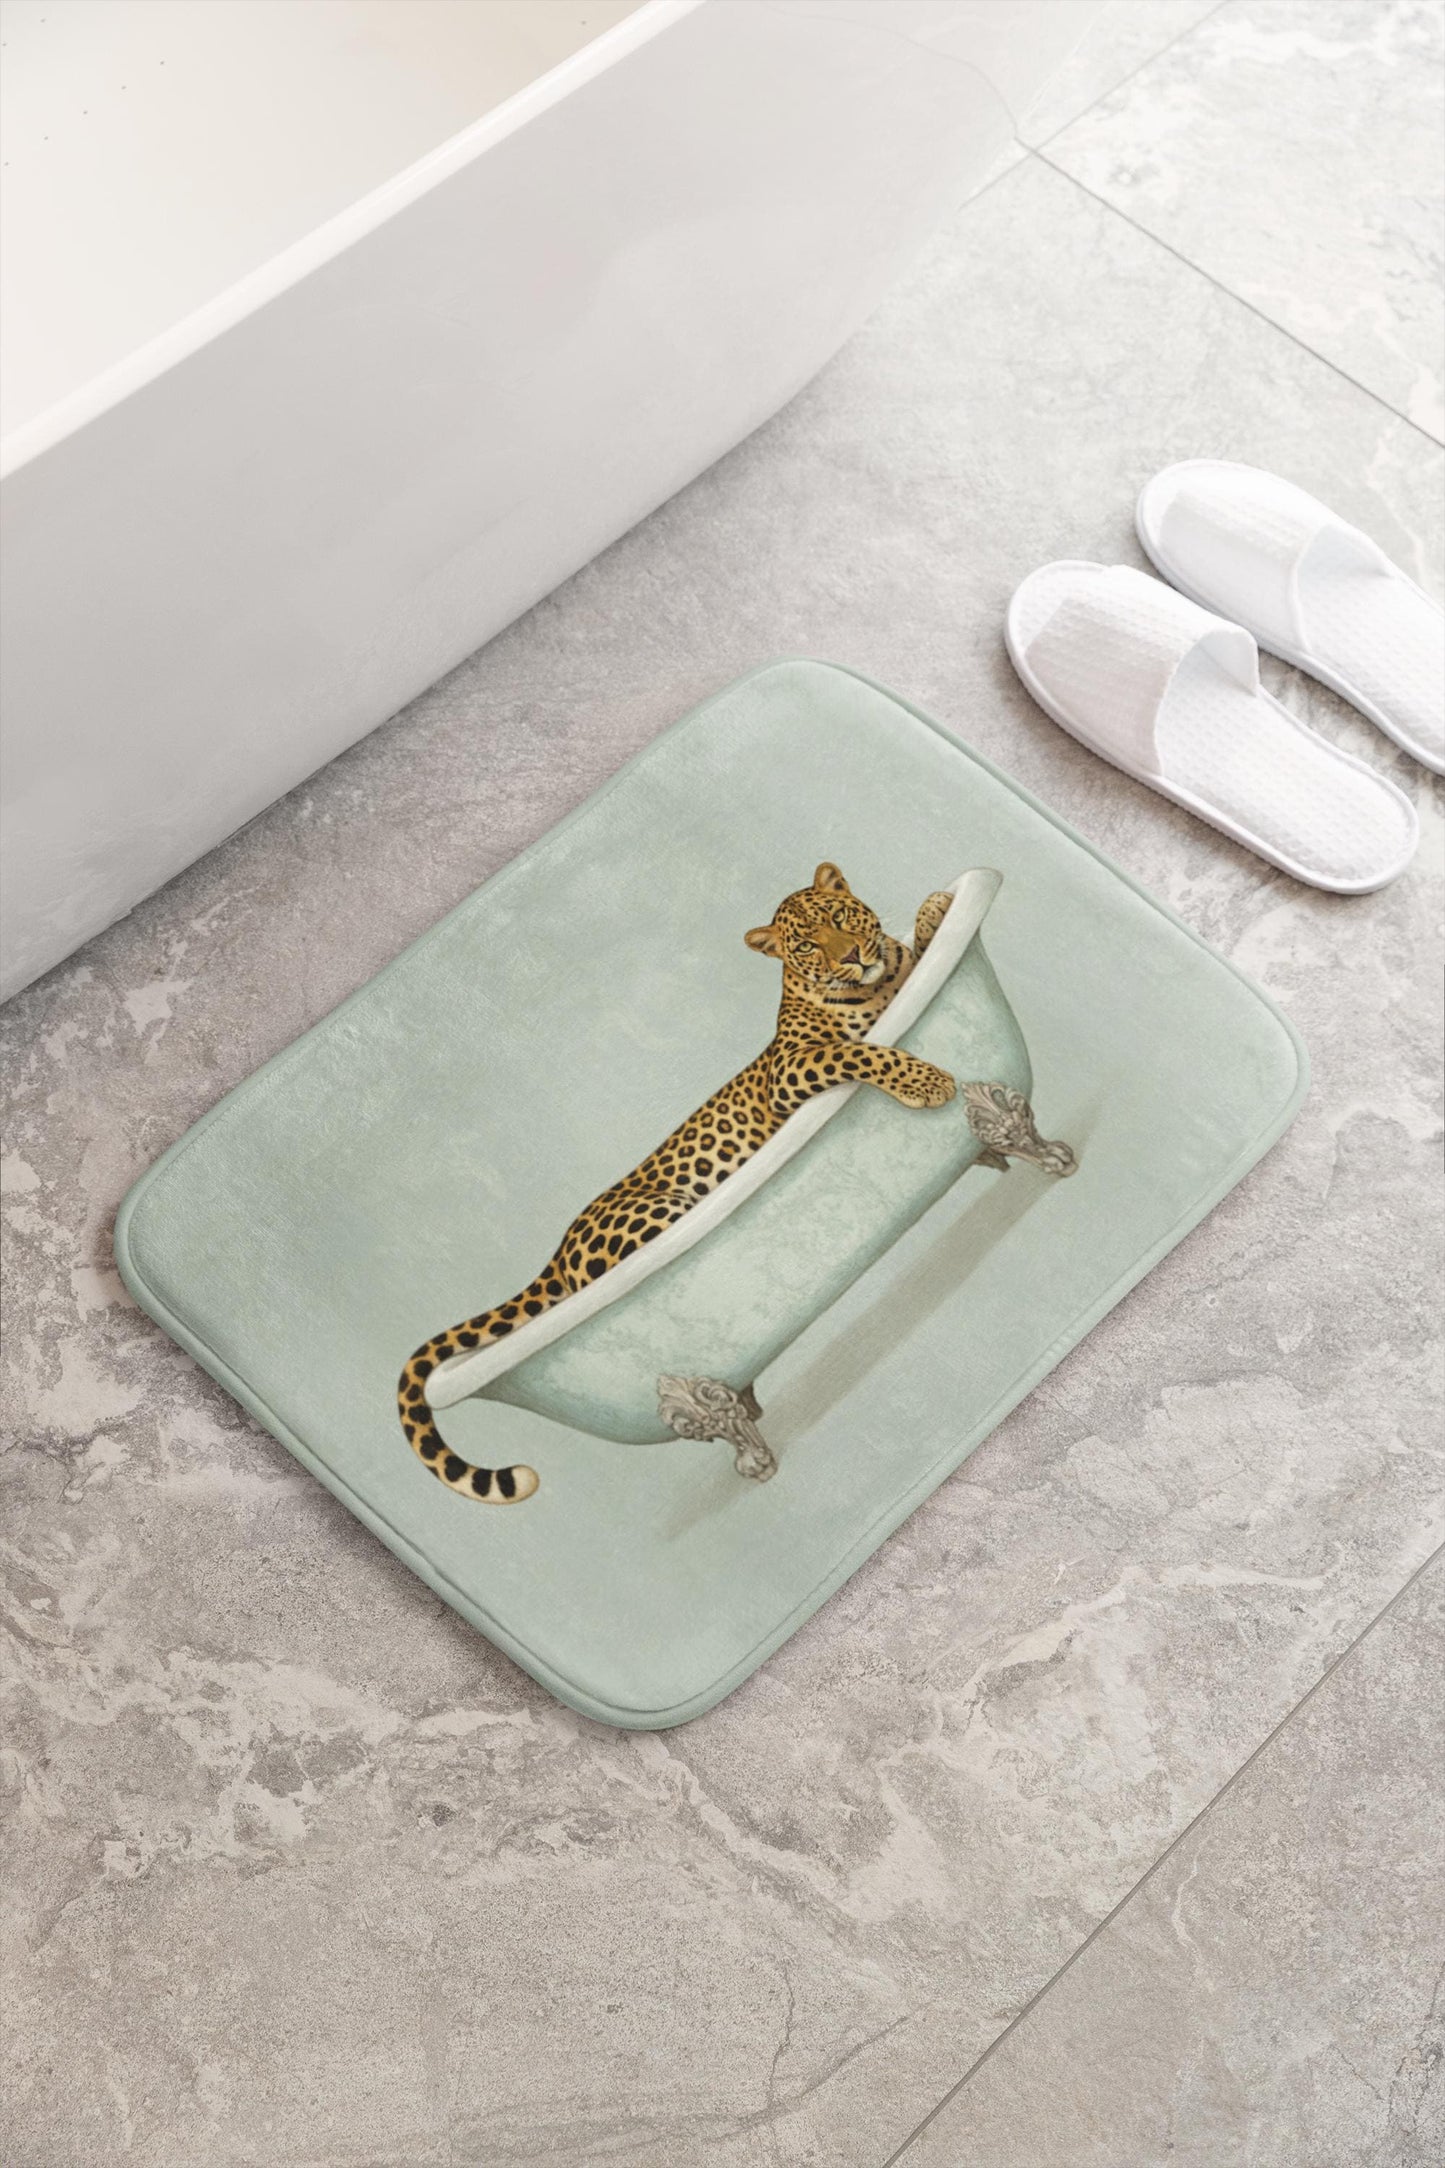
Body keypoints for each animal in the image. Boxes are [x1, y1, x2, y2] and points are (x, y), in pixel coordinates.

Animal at [396, 863, 958, 1504]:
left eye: (840, 918)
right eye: (808, 946)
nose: (853, 957)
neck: (876, 988)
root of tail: (557, 1256)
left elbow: (917, 947)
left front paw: (938, 906)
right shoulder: (790, 1070)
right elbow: (858, 1054)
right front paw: (925, 1080)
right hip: (660, 1216)